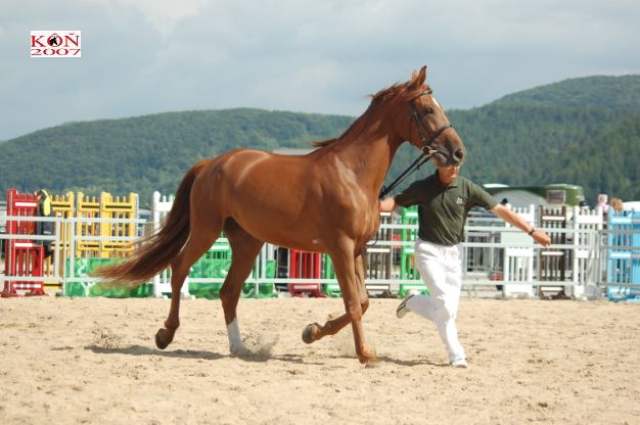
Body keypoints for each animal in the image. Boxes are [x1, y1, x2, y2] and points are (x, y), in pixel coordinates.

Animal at [95, 66, 465, 364]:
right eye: (426, 109)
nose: (458, 152)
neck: (352, 173)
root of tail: (211, 164)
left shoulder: (358, 249)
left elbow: (362, 302)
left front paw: (312, 331)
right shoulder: (340, 248)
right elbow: (352, 303)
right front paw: (364, 354)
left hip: (248, 243)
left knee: (228, 291)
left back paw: (239, 348)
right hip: (206, 230)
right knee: (179, 270)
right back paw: (166, 334)